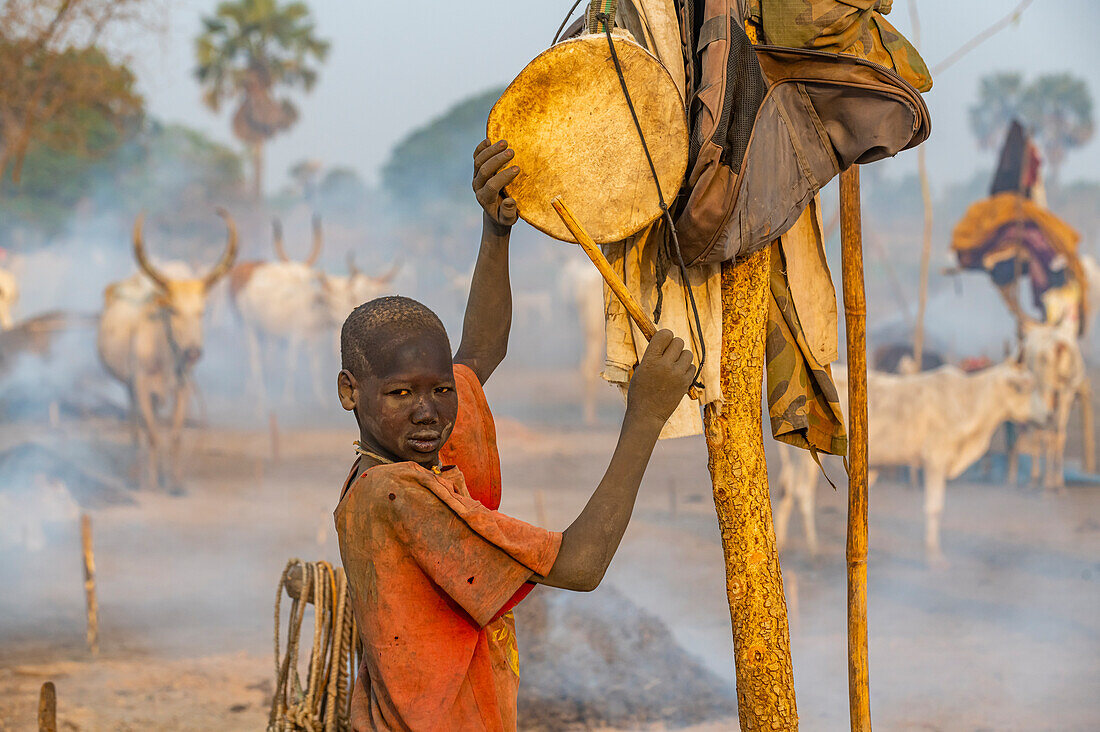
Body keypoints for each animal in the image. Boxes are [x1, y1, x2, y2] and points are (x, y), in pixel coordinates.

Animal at [97, 208, 237, 488]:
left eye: (201, 312)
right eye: (172, 310)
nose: (193, 352)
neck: (164, 355)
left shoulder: (182, 387)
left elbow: (174, 435)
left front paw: (175, 482)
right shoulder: (141, 385)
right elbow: (151, 434)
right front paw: (150, 482)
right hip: (130, 386)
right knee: (136, 426)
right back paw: (137, 470)